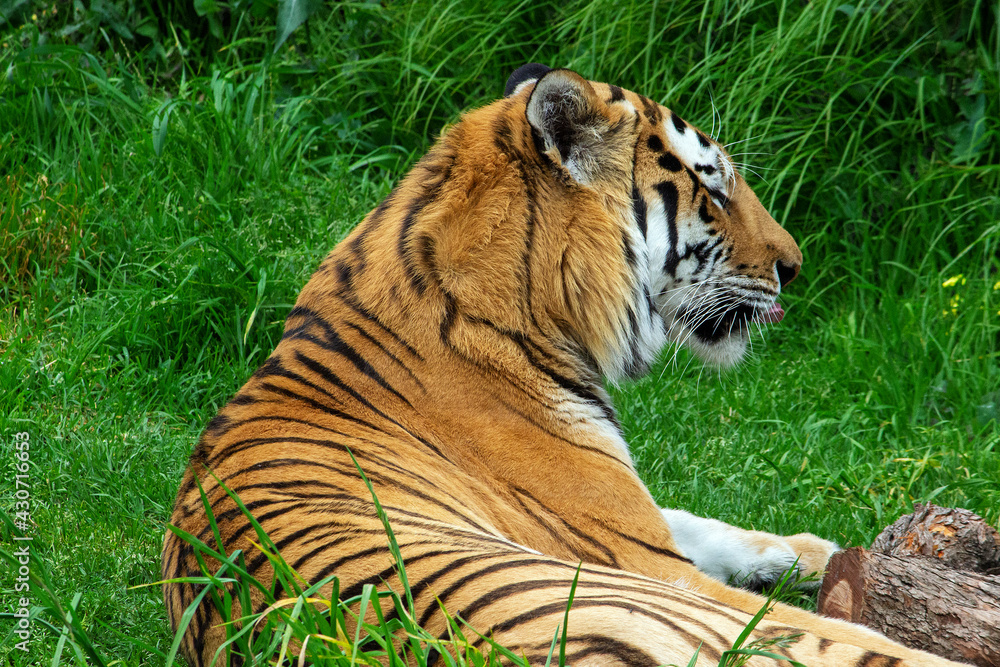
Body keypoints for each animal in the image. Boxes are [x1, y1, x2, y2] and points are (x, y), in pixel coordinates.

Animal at [162, 64, 963, 666]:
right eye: (713, 188)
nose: (792, 268)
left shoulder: (632, 517)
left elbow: (697, 517)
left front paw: (816, 551)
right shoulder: (640, 553)